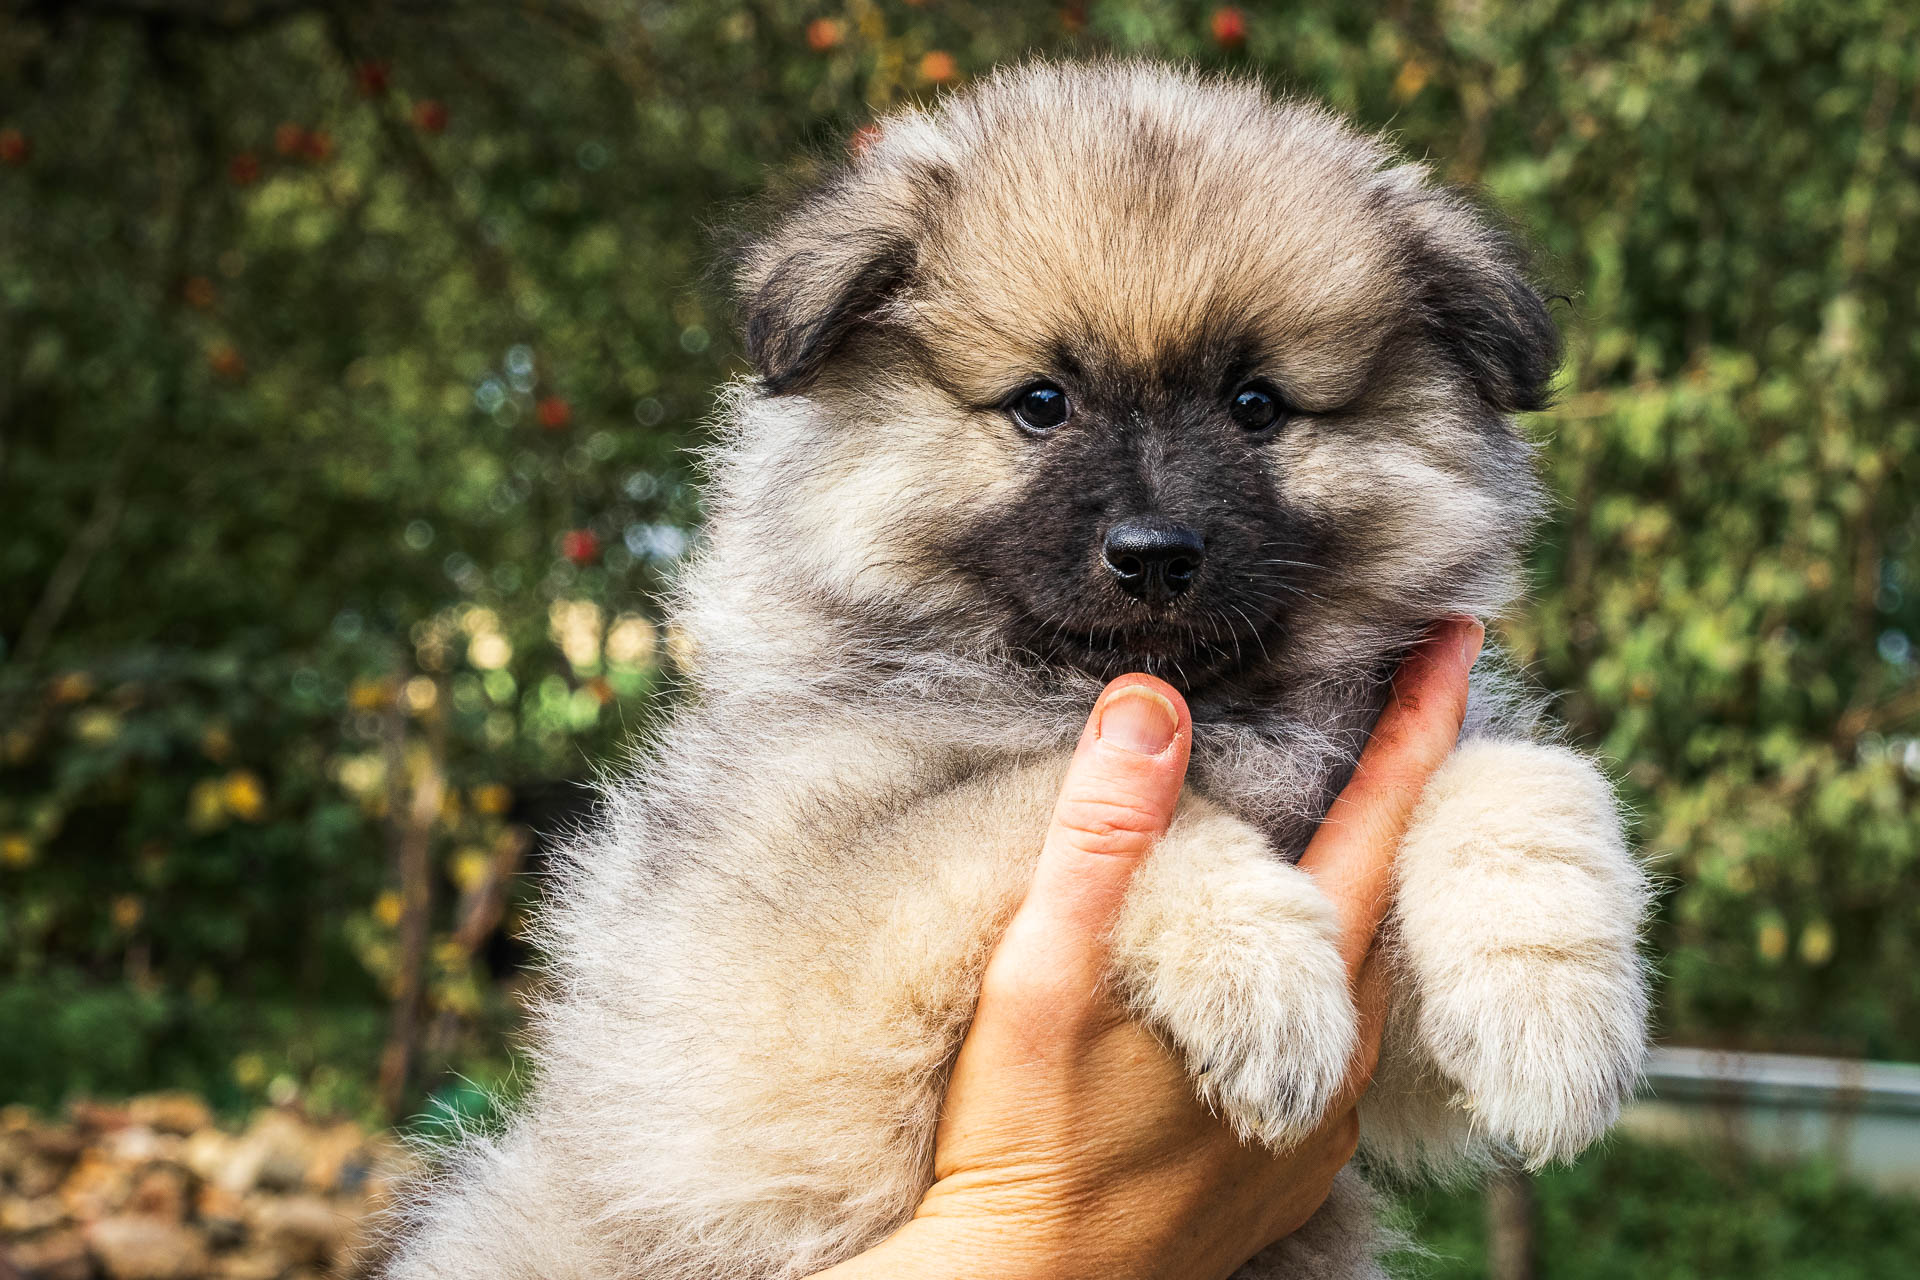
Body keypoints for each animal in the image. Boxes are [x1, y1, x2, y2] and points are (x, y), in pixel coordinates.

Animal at [385, 62, 1651, 1280]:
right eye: (1043, 403)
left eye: (1256, 404)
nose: (1154, 553)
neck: (1211, 705)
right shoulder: (812, 972)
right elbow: (1053, 793)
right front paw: (1262, 972)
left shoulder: (1389, 1049)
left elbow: (1525, 777)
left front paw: (1552, 1010)